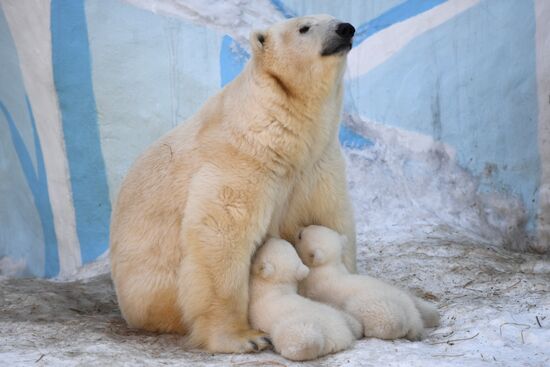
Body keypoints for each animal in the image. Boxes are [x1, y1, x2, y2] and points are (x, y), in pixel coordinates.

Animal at [111, 14, 358, 354]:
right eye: (304, 27)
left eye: (334, 18)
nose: (346, 28)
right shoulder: (243, 157)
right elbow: (221, 234)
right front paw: (245, 337)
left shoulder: (316, 164)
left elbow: (330, 216)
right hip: (150, 291)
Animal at [298, 226, 440, 340]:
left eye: (300, 236)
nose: (300, 228)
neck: (328, 266)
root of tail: (413, 321)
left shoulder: (313, 285)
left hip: (376, 307)